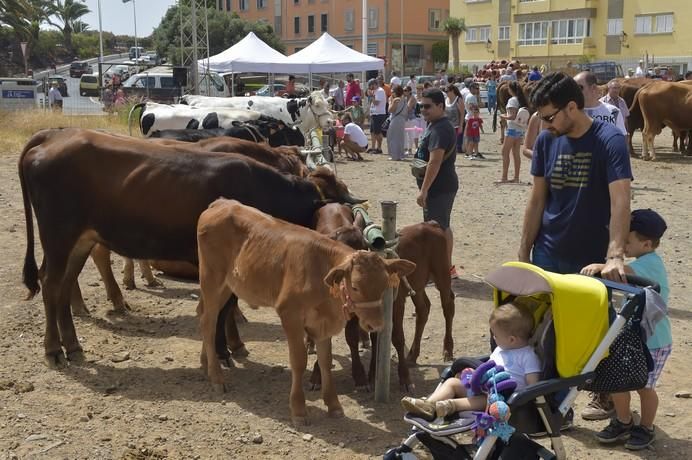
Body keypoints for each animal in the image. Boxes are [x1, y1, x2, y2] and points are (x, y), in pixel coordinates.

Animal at [195, 199, 414, 426]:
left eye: (384, 285)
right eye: (354, 286)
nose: (375, 324)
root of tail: (222, 202)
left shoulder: (323, 323)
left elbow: (325, 361)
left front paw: (334, 405)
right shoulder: (289, 314)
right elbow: (299, 361)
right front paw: (299, 410)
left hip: (226, 286)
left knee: (206, 317)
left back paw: (205, 364)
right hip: (211, 279)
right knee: (208, 323)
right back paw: (217, 377)